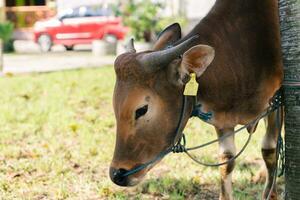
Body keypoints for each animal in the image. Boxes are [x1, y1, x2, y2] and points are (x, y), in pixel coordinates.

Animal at [110, 0, 284, 199]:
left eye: (142, 109)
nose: (117, 174)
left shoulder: (277, 101)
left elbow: (270, 150)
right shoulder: (223, 119)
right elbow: (226, 160)